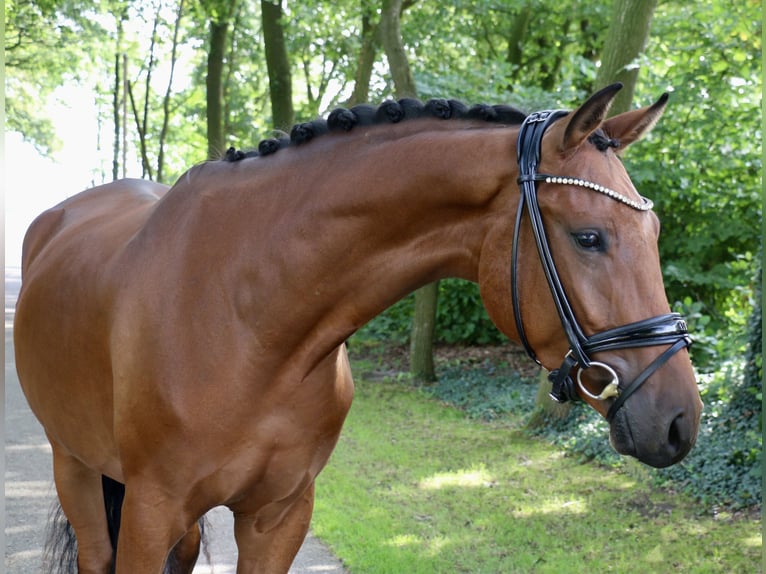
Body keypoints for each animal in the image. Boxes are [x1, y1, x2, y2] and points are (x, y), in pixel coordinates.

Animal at [13, 84, 704, 574]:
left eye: (654, 231)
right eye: (589, 237)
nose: (679, 420)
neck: (248, 321)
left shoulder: (279, 516)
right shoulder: (149, 510)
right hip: (74, 463)